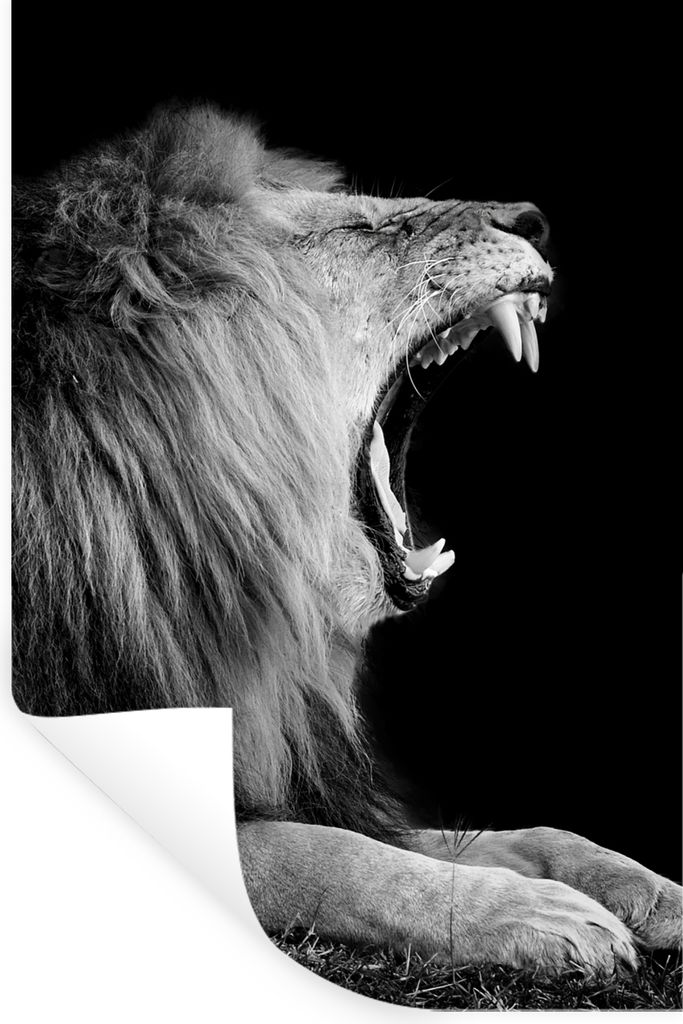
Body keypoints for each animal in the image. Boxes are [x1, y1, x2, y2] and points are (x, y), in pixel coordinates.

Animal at [12, 103, 681, 979]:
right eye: (357, 229)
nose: (533, 220)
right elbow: (323, 853)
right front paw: (527, 911)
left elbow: (505, 832)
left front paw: (640, 886)